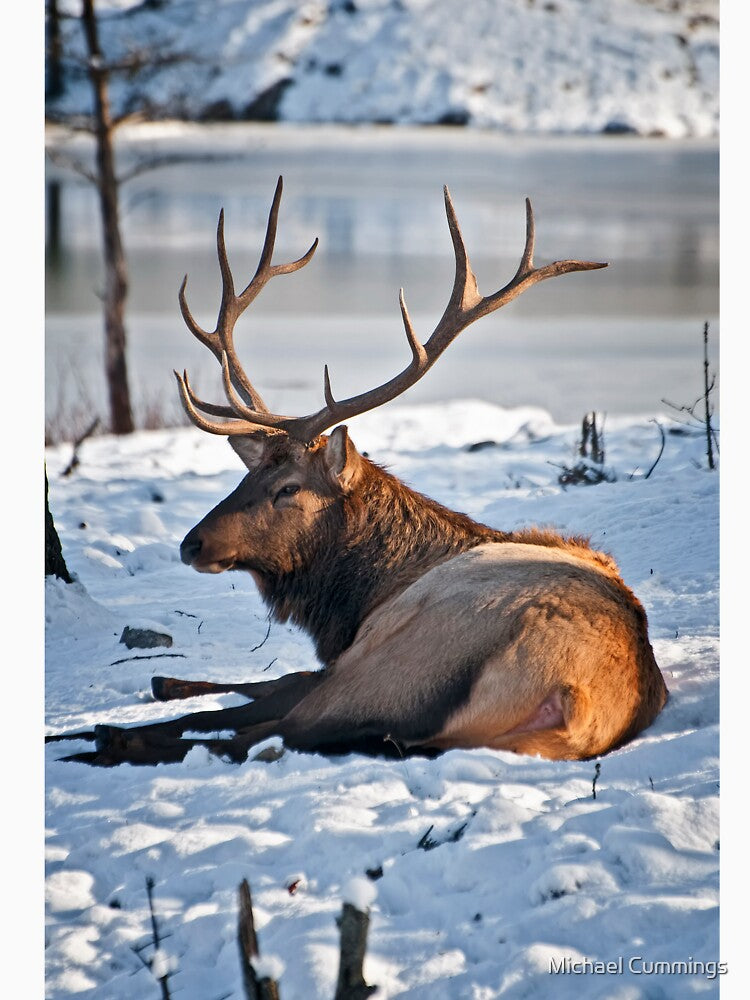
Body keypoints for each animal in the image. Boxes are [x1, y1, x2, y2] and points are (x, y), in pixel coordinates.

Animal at [49, 177, 668, 767]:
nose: (191, 543)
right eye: (245, 478)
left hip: (394, 659)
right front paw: (163, 683)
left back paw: (103, 739)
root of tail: (572, 701)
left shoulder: (351, 649)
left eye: (288, 489)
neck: (356, 597)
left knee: (260, 734)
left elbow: (262, 690)